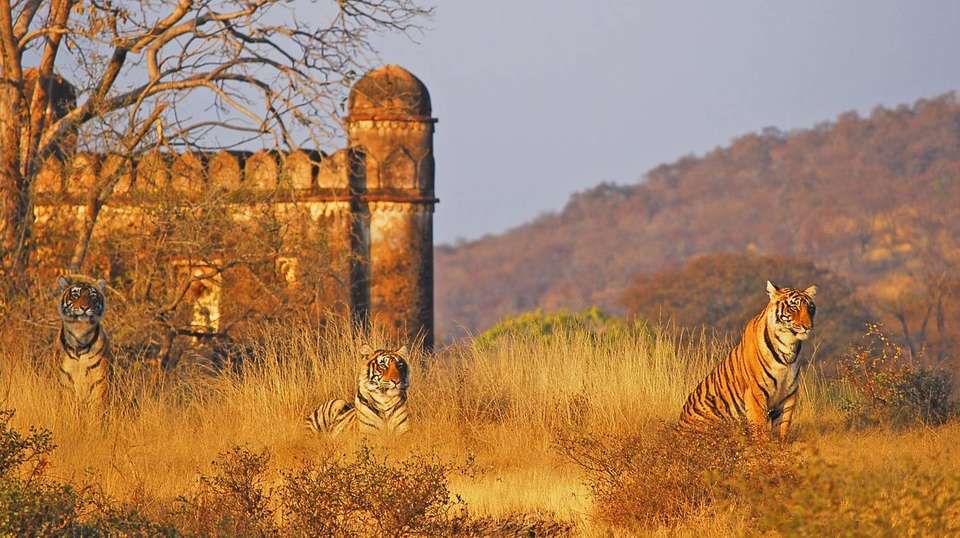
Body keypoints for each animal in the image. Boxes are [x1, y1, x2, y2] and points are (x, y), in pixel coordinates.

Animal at [54, 276, 112, 408]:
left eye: (92, 296)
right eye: (75, 295)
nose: (85, 308)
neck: (80, 332)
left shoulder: (98, 380)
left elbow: (96, 406)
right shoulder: (66, 379)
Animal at [678, 280, 816, 441]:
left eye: (810, 308)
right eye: (793, 307)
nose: (808, 327)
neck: (788, 346)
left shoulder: (788, 394)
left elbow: (783, 427)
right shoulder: (756, 393)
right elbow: (760, 428)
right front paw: (764, 446)